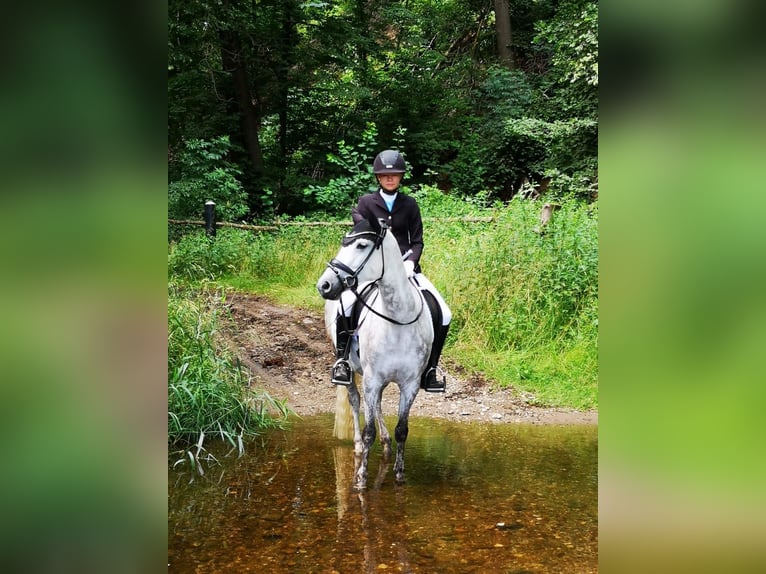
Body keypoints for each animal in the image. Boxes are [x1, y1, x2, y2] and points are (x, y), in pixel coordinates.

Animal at [316, 220, 436, 490]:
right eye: (344, 242)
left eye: (361, 245)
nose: (324, 285)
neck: (397, 318)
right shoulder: (372, 380)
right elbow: (368, 427)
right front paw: (361, 478)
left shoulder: (409, 385)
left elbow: (402, 429)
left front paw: (399, 474)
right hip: (351, 370)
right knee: (355, 401)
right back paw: (359, 446)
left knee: (378, 405)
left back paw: (386, 443)